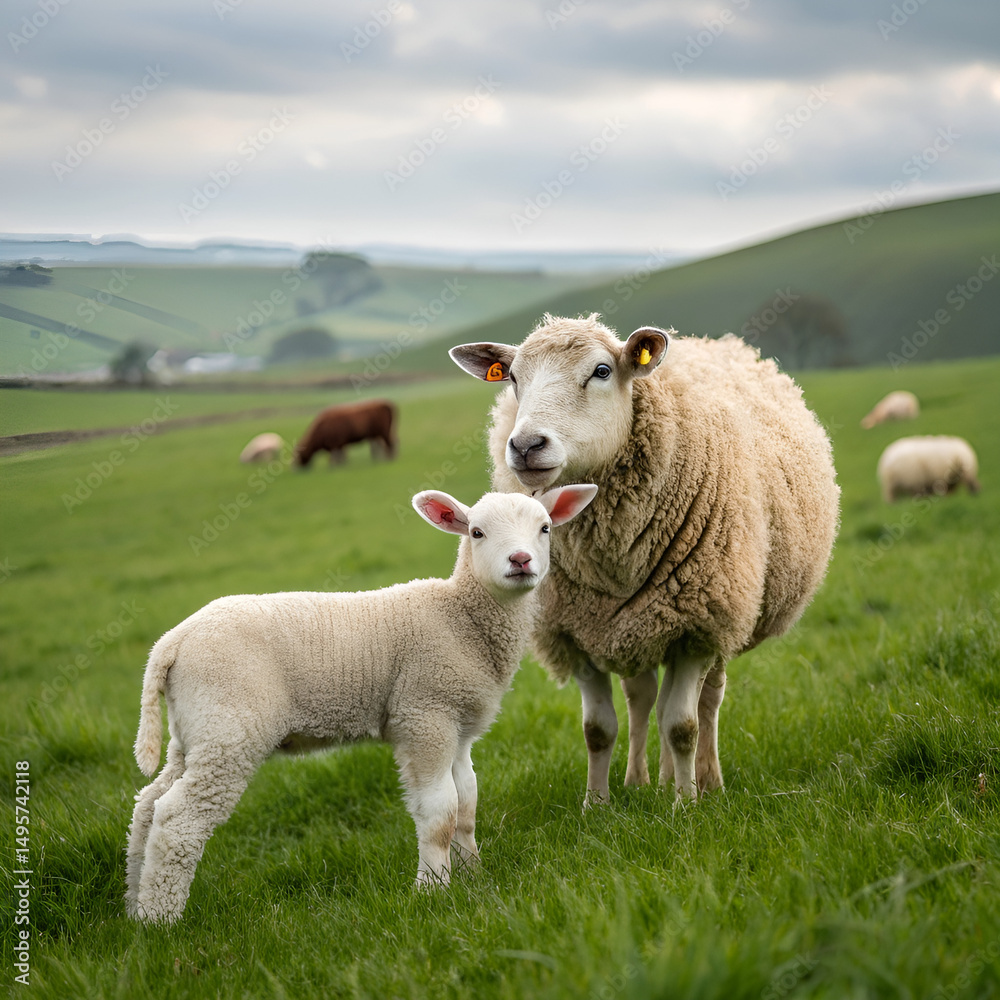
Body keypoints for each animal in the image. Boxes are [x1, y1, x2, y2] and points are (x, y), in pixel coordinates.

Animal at [124, 483, 597, 923]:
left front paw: (475, 875)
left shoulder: (458, 725)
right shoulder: (424, 713)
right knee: (179, 818)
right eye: (477, 532)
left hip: (196, 729)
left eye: (545, 528)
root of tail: (171, 642)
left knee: (147, 806)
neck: (461, 618)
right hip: (229, 725)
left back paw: (133, 903)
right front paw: (433, 888)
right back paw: (160, 920)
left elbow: (466, 805)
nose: (520, 560)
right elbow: (440, 813)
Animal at [450, 313, 839, 804]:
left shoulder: (697, 627)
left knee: (705, 700)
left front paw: (685, 805)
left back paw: (705, 781)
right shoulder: (575, 631)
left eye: (601, 371)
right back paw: (642, 779)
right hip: (634, 623)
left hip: (721, 611)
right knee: (643, 697)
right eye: (514, 378)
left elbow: (682, 725)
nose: (525, 445)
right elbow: (598, 729)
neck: (613, 558)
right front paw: (596, 804)